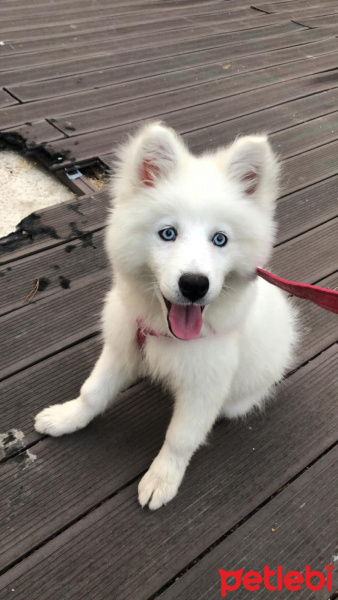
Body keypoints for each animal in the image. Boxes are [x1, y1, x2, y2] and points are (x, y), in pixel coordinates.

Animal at [35, 122, 298, 510]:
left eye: (220, 239)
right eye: (168, 233)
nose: (194, 285)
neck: (161, 331)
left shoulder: (205, 385)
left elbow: (180, 437)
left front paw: (162, 479)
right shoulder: (121, 346)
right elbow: (92, 392)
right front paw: (66, 418)